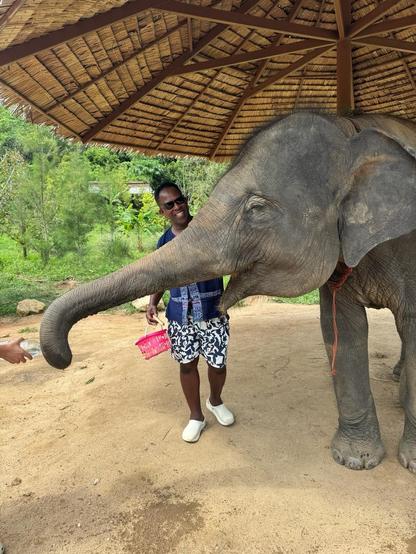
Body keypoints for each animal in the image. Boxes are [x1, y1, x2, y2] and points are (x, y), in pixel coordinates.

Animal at [39, 111, 416, 470]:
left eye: (257, 209)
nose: (64, 356)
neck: (350, 131)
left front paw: (407, 463)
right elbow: (343, 329)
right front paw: (354, 460)